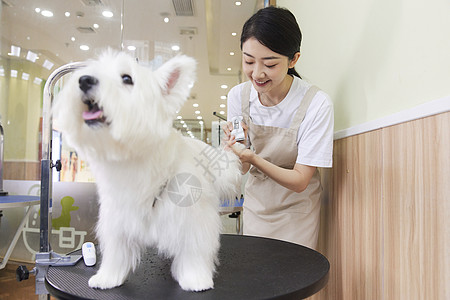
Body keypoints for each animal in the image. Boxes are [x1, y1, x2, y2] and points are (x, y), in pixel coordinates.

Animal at [52, 50, 241, 292]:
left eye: (127, 78)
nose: (84, 80)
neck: (135, 159)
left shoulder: (193, 220)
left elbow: (194, 251)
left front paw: (195, 279)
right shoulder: (117, 219)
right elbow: (116, 254)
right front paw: (108, 278)